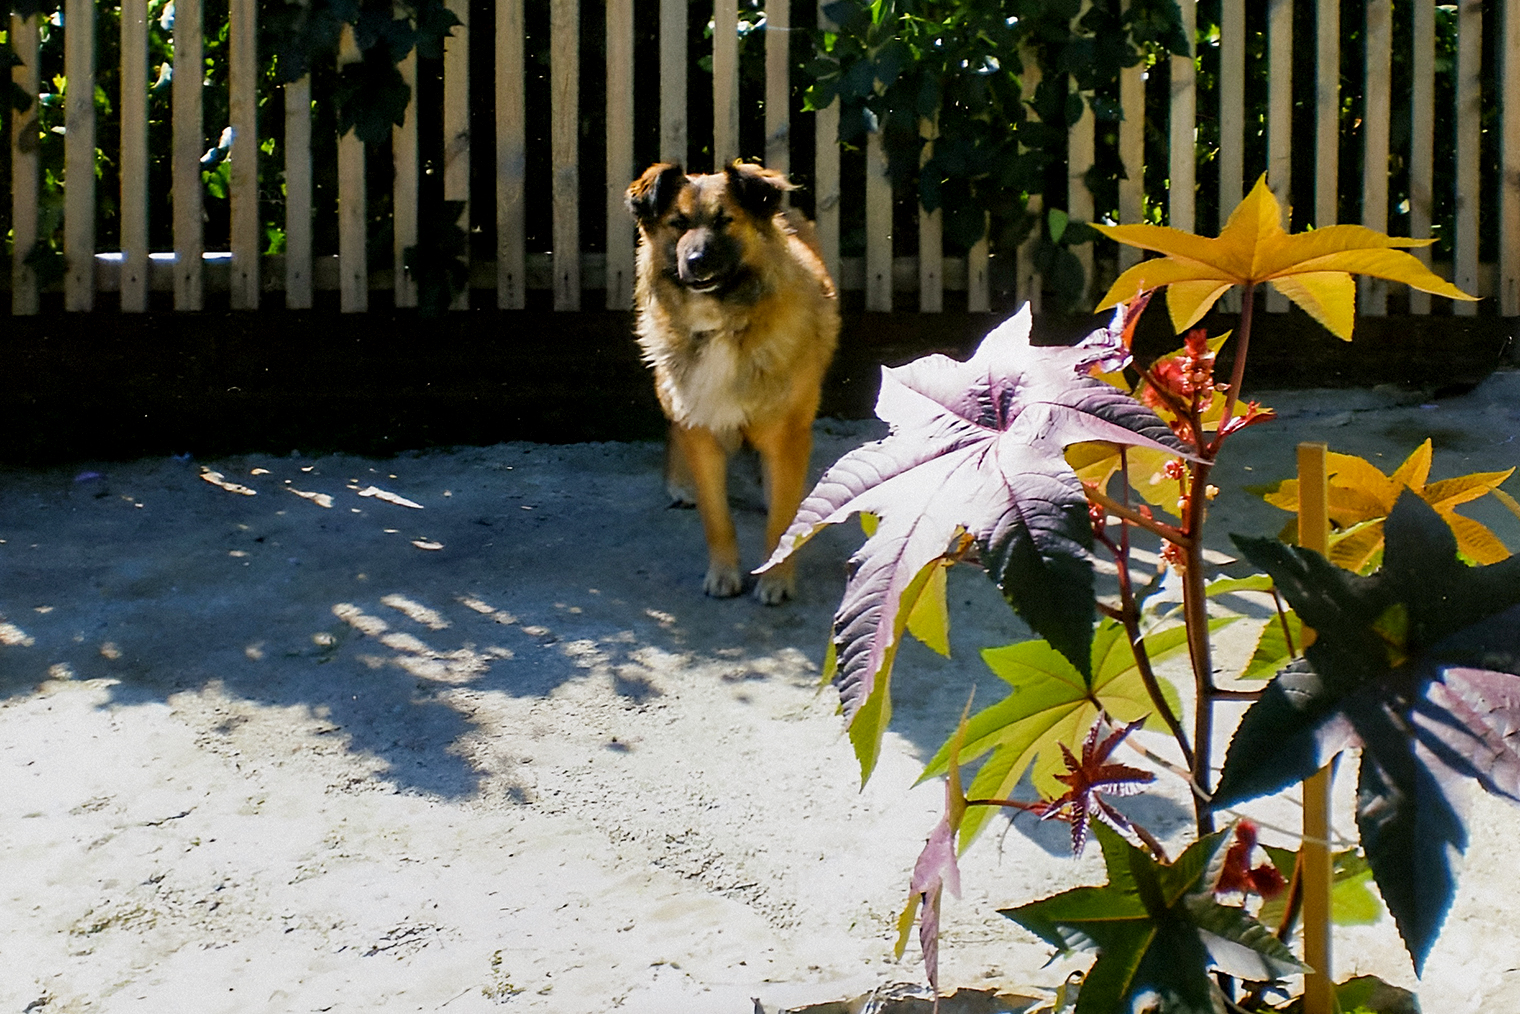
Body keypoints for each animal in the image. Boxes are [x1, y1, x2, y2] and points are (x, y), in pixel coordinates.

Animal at [626, 159, 845, 602]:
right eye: (677, 223)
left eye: (725, 220)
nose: (695, 260)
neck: (723, 324)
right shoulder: (698, 423)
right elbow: (716, 516)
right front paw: (724, 573)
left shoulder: (787, 433)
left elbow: (781, 518)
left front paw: (776, 580)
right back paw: (680, 482)